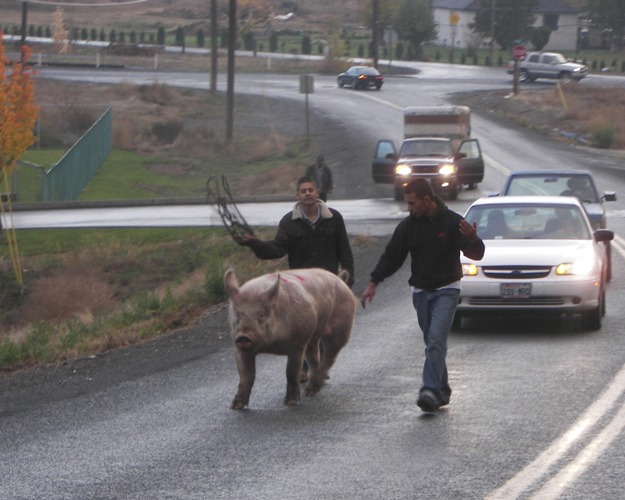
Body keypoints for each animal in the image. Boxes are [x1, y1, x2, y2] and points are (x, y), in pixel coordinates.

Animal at [224, 268, 354, 408]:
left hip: (342, 327)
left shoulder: (298, 342)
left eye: (261, 315)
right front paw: (235, 406)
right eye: (238, 315)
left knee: (331, 356)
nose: (243, 336)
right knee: (314, 356)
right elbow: (246, 376)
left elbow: (291, 372)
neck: (271, 346)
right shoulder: (240, 348)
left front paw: (291, 403)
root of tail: (339, 279)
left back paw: (310, 391)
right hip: (313, 337)